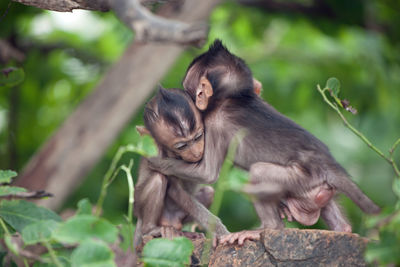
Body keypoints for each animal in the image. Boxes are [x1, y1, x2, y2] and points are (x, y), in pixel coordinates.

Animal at [148, 38, 380, 246]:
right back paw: (342, 229)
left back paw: (267, 227)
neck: (231, 98)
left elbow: (207, 172)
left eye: (190, 92)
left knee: (259, 172)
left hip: (302, 178)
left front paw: (156, 163)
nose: (191, 99)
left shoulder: (214, 123)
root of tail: (329, 164)